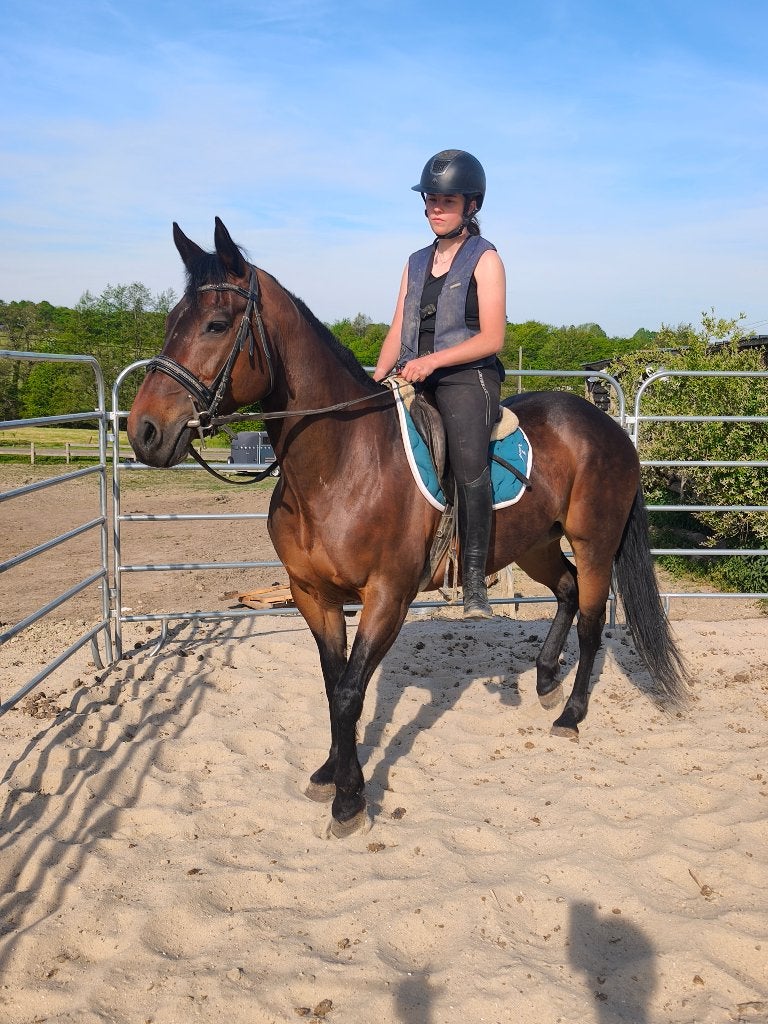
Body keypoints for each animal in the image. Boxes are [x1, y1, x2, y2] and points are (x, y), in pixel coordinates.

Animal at [127, 218, 689, 837]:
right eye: (170, 323)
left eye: (217, 324)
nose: (144, 431)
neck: (341, 464)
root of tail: (607, 424)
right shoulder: (312, 594)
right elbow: (333, 685)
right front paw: (329, 772)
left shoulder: (388, 596)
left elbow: (351, 692)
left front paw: (350, 800)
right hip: (534, 543)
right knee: (564, 590)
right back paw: (544, 679)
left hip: (594, 543)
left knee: (590, 620)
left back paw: (570, 714)